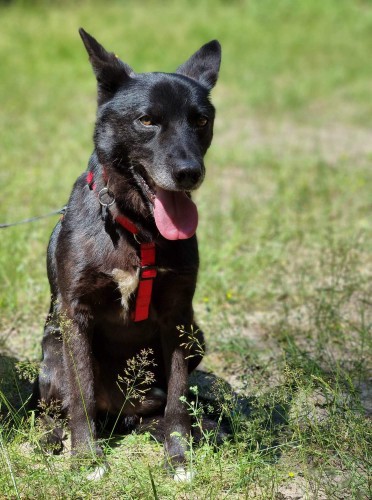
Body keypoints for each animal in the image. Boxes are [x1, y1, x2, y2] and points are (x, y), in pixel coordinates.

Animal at [35, 28, 221, 480]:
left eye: (200, 120)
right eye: (147, 120)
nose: (190, 173)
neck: (136, 229)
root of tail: (122, 412)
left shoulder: (178, 318)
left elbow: (177, 399)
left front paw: (179, 455)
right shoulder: (76, 315)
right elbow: (81, 394)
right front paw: (86, 457)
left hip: (197, 338)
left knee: (163, 405)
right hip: (52, 351)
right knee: (56, 408)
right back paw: (52, 438)